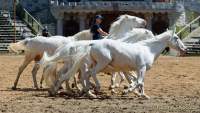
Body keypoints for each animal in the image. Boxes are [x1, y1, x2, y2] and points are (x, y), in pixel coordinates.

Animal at [9, 14, 146, 89]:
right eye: (134, 18)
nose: (144, 22)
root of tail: (30, 39)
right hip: (29, 57)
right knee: (22, 69)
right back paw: (15, 85)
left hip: (38, 60)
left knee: (35, 71)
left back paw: (39, 85)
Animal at [41, 30, 187, 98]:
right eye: (176, 38)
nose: (185, 49)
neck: (148, 49)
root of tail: (91, 44)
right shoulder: (141, 68)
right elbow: (137, 81)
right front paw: (126, 91)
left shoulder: (134, 69)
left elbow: (138, 81)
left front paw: (142, 95)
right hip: (100, 63)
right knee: (86, 75)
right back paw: (92, 89)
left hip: (85, 65)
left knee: (74, 76)